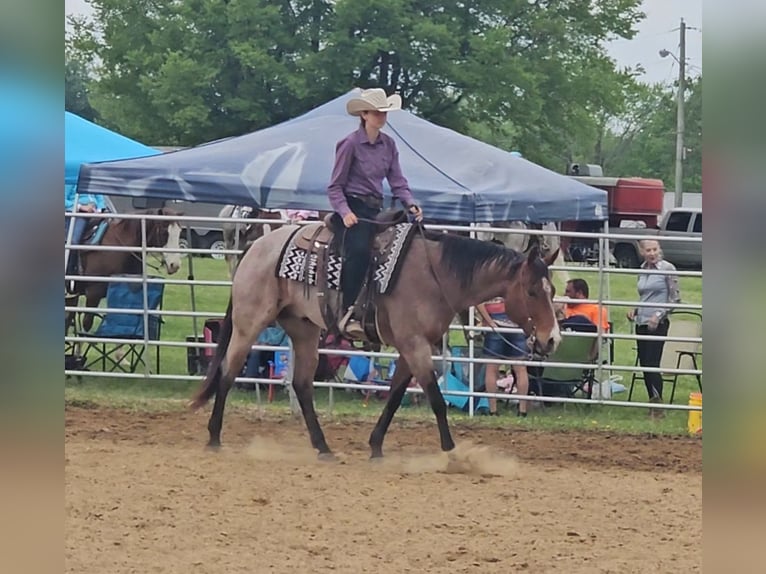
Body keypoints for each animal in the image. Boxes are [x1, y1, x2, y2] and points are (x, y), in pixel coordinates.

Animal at [190, 218, 564, 462]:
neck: (435, 275)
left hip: (304, 329)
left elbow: (396, 396)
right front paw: (453, 454)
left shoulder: (412, 348)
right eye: (533, 291)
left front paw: (375, 446)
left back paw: (323, 447)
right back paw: (213, 437)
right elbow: (437, 400)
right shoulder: (415, 344)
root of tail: (255, 247)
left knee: (302, 385)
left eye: (552, 291)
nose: (551, 340)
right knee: (227, 372)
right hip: (249, 323)